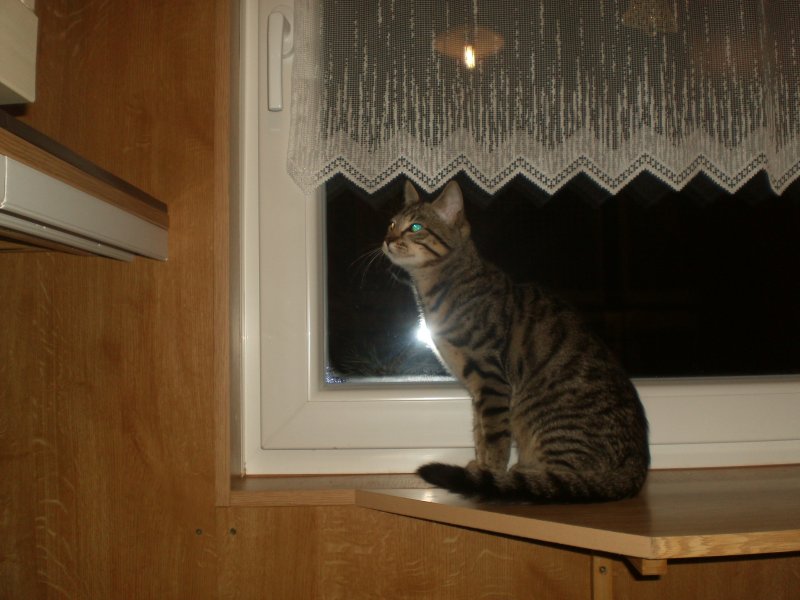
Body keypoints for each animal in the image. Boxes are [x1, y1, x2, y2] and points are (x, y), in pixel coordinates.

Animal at [382, 179, 650, 502]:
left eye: (415, 227)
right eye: (392, 223)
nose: (387, 239)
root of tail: (637, 469)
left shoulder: (490, 380)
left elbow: (494, 437)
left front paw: (490, 474)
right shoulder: (478, 389)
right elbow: (479, 433)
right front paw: (480, 467)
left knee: (566, 480)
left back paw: (522, 477)